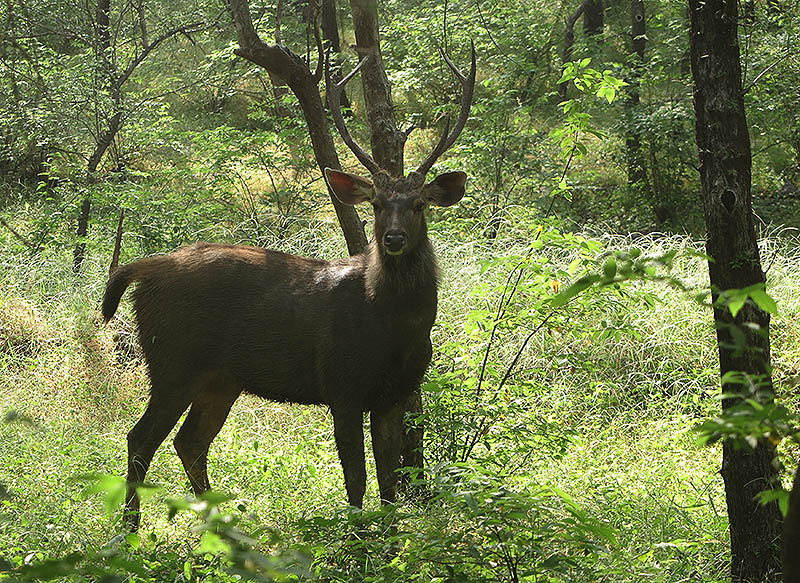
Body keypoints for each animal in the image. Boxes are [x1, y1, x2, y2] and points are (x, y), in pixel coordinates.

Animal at [101, 44, 476, 528]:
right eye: (375, 204)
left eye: (418, 204)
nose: (392, 239)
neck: (394, 326)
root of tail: (147, 269)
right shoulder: (341, 383)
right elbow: (356, 478)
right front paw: (355, 534)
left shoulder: (395, 394)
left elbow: (390, 482)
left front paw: (392, 534)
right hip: (172, 359)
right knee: (141, 438)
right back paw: (130, 530)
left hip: (220, 378)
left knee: (189, 442)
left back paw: (224, 526)